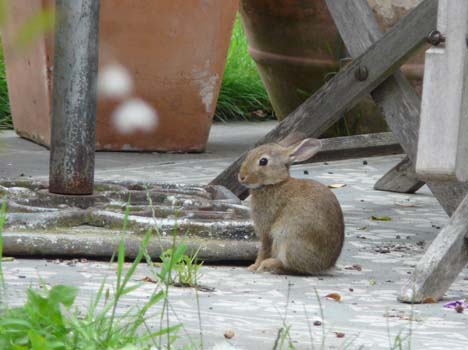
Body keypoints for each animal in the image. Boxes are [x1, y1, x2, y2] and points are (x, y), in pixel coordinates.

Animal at [238, 138, 344, 274]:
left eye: (263, 161)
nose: (242, 177)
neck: (275, 183)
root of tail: (323, 266)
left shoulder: (266, 229)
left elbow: (264, 250)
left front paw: (253, 267)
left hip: (287, 239)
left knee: (291, 267)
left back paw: (267, 265)